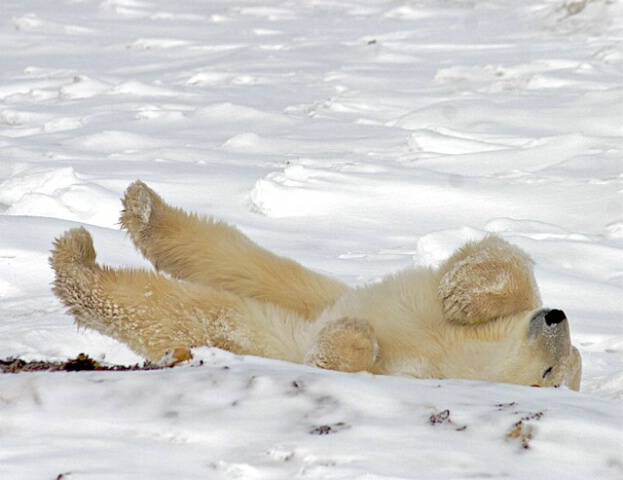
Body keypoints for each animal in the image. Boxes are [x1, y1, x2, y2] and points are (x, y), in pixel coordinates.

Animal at [51, 180, 584, 390]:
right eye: (565, 355)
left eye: (551, 372)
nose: (556, 316)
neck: (467, 356)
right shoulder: (429, 311)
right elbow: (501, 258)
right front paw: (460, 294)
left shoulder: (415, 370)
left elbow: (336, 359)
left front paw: (353, 337)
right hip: (319, 290)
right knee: (244, 259)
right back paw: (141, 208)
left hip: (267, 324)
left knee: (196, 307)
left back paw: (75, 258)